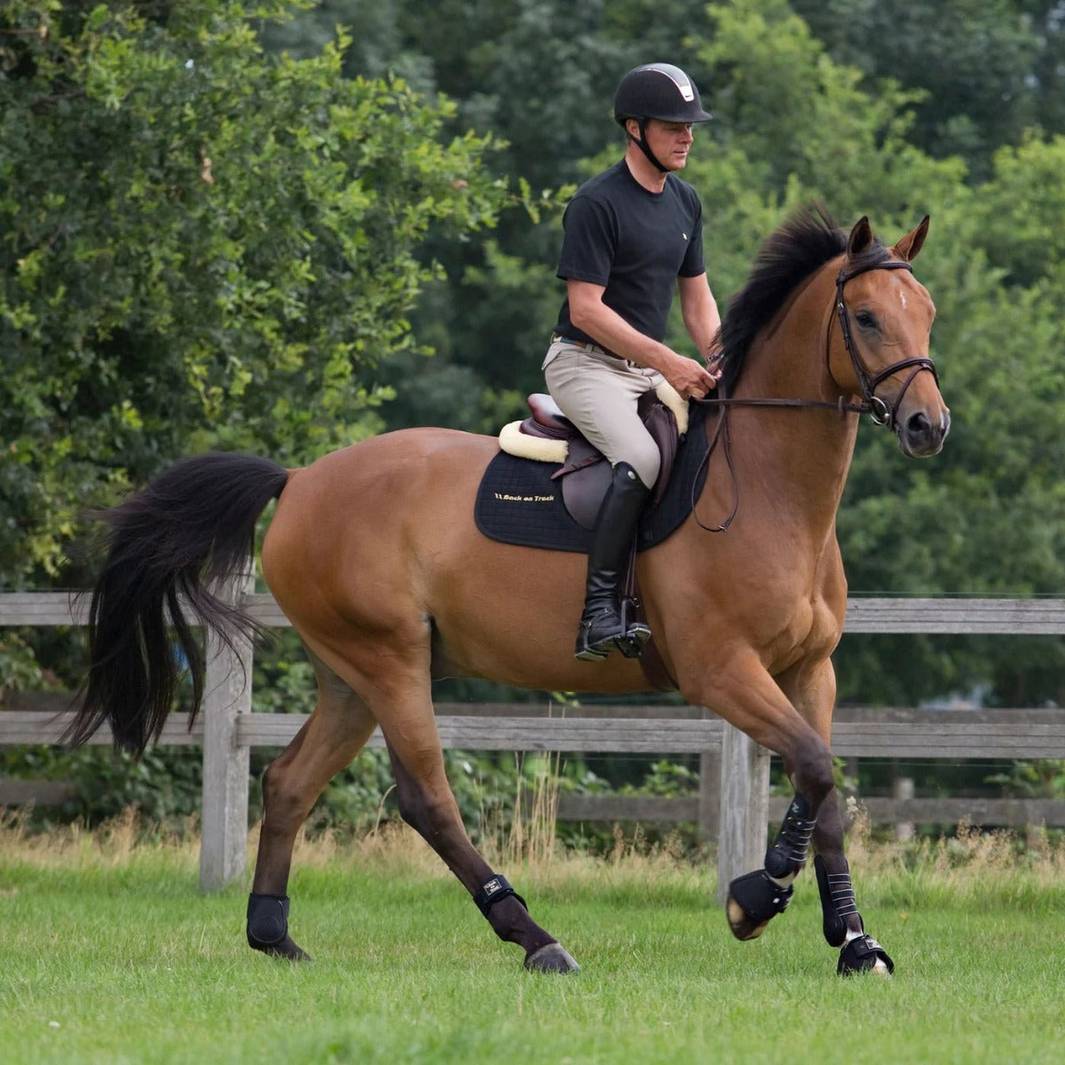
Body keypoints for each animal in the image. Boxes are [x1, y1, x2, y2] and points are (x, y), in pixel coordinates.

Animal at [66, 205, 949, 975]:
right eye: (866, 317)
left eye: (927, 313)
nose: (927, 427)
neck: (765, 486)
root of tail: (301, 478)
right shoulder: (720, 669)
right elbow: (813, 768)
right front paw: (754, 899)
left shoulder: (808, 669)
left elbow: (822, 785)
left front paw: (853, 940)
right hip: (388, 659)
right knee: (425, 797)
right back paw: (535, 936)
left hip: (351, 673)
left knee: (289, 782)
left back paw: (273, 934)